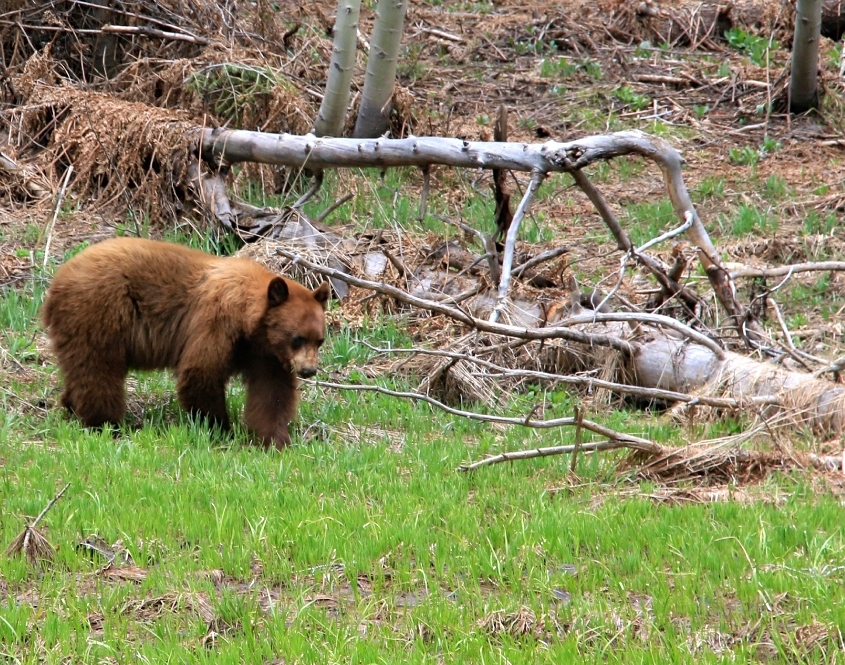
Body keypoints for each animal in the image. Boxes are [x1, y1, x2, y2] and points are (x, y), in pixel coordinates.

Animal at [42, 236, 330, 448]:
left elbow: (272, 391)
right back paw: (106, 423)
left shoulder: (264, 352)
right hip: (99, 312)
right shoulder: (216, 323)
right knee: (98, 370)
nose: (309, 370)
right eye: (297, 338)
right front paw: (220, 428)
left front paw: (274, 439)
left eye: (320, 340)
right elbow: (201, 372)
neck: (250, 323)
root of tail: (56, 282)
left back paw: (72, 407)